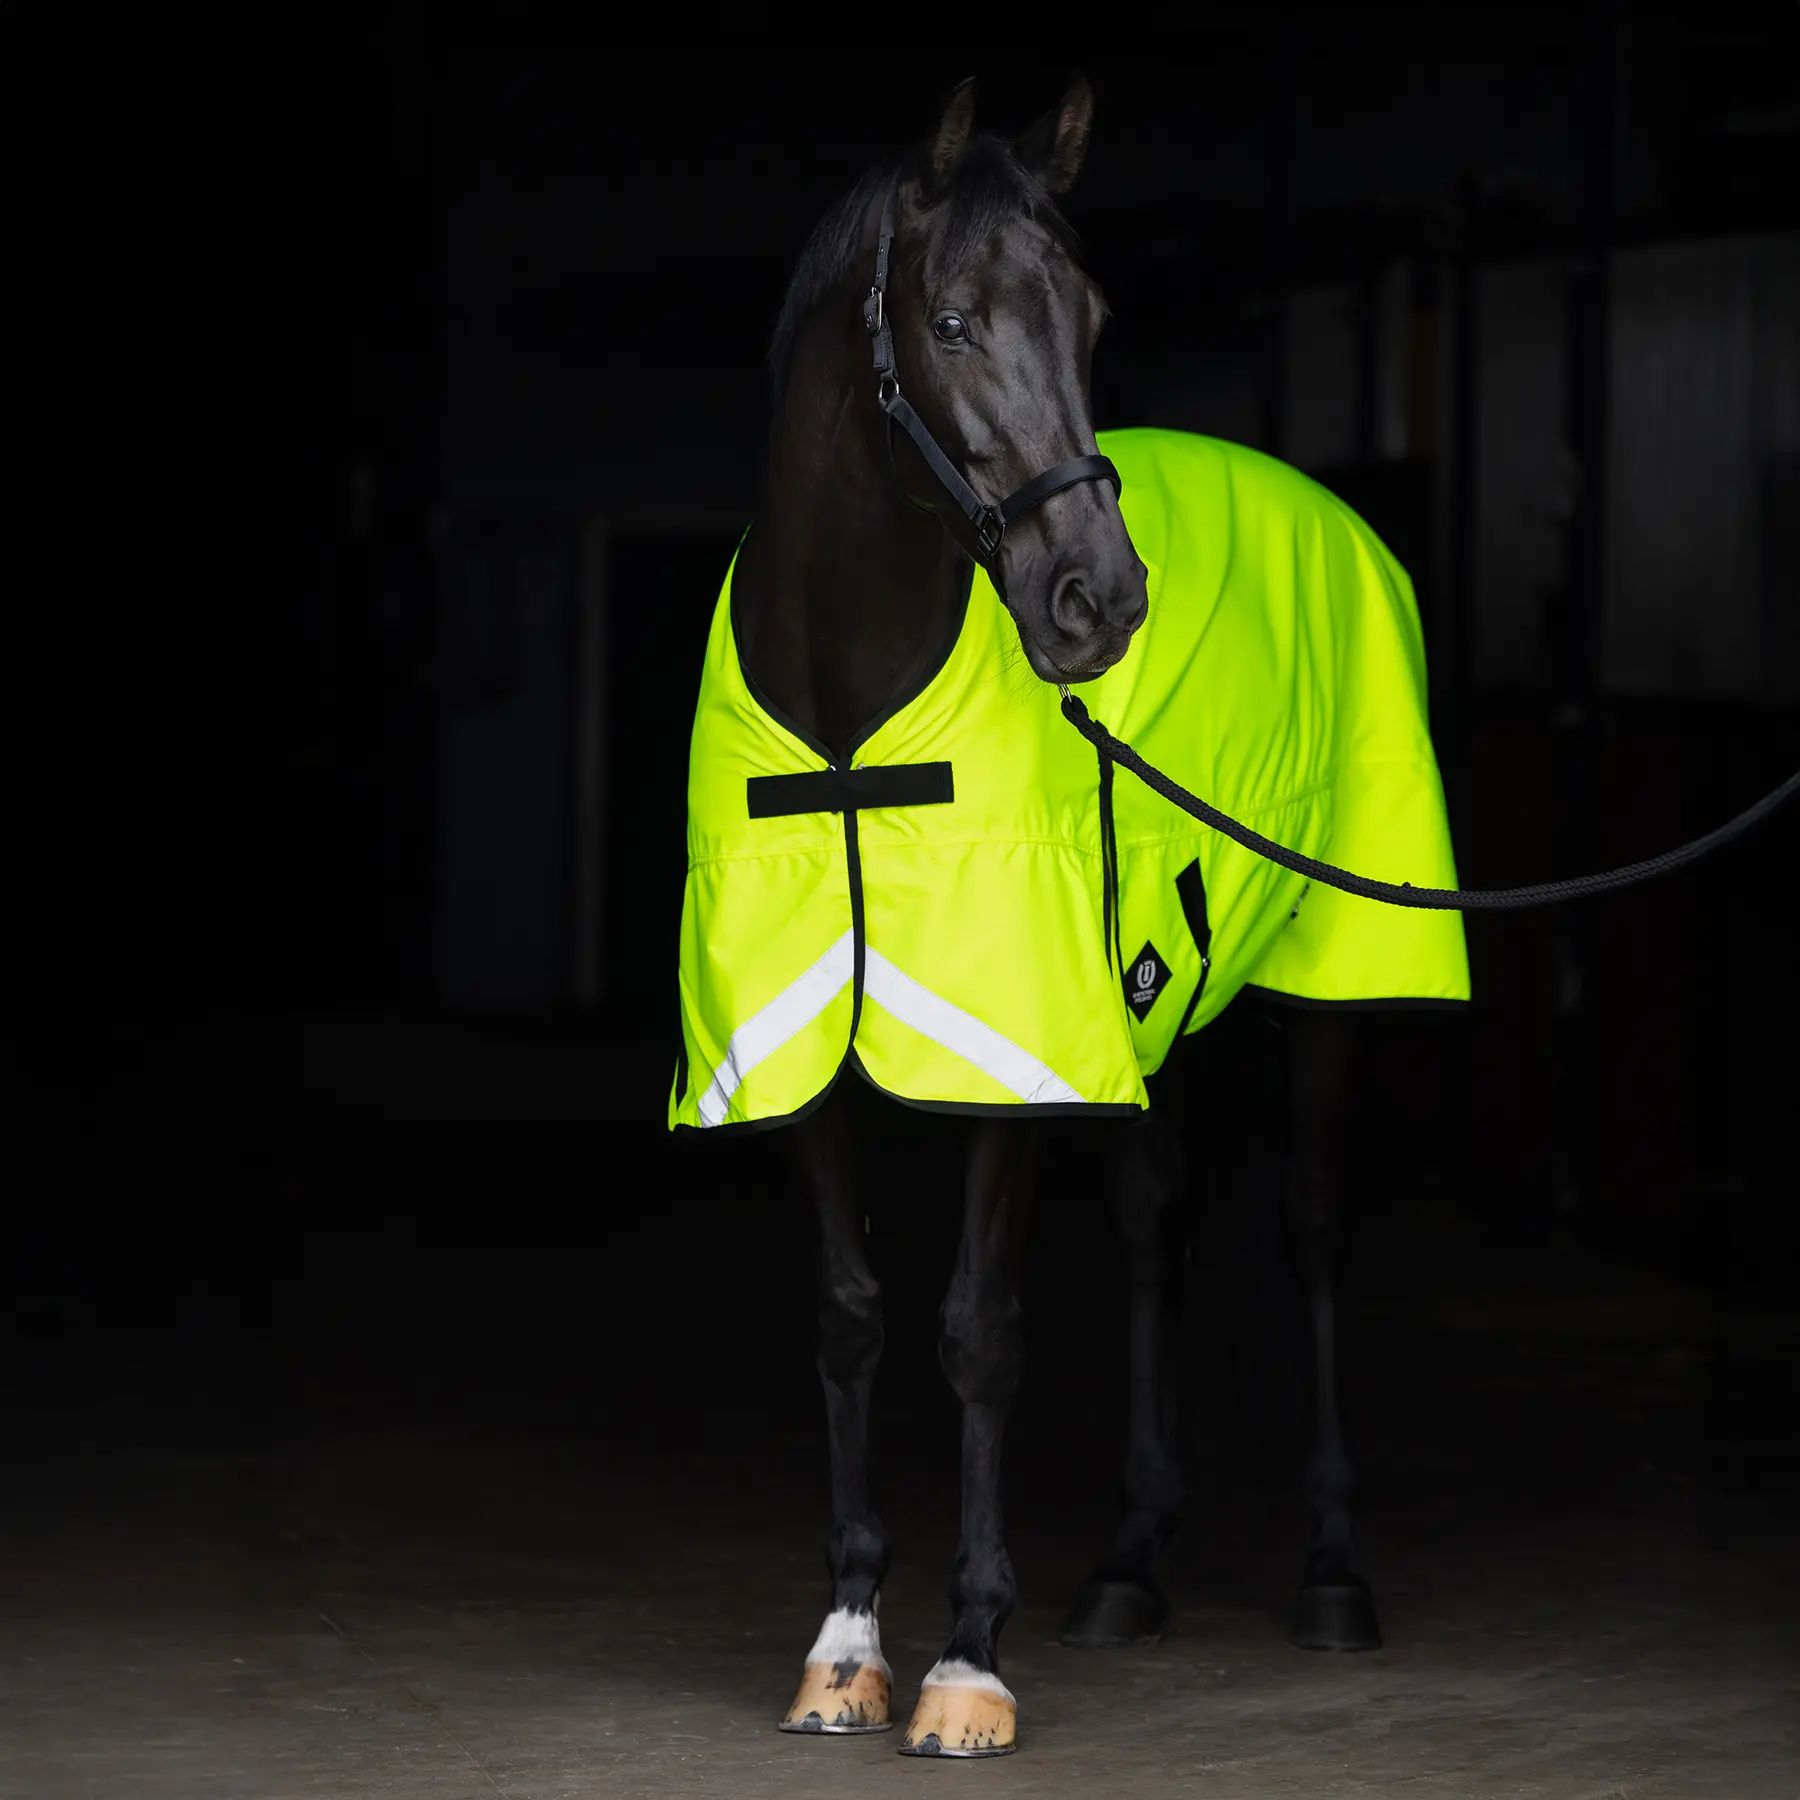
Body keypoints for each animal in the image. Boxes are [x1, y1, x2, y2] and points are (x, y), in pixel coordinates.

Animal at [675, 74, 1461, 1756]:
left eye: (1092, 318)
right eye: (954, 321)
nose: (1099, 600)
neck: (851, 712)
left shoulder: (1009, 1051)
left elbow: (982, 1331)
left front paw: (969, 1658)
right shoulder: (794, 1048)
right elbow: (849, 1314)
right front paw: (847, 1639)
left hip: (1330, 988)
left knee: (1310, 1222)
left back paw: (1332, 1569)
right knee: (1160, 1219)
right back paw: (1131, 1564)